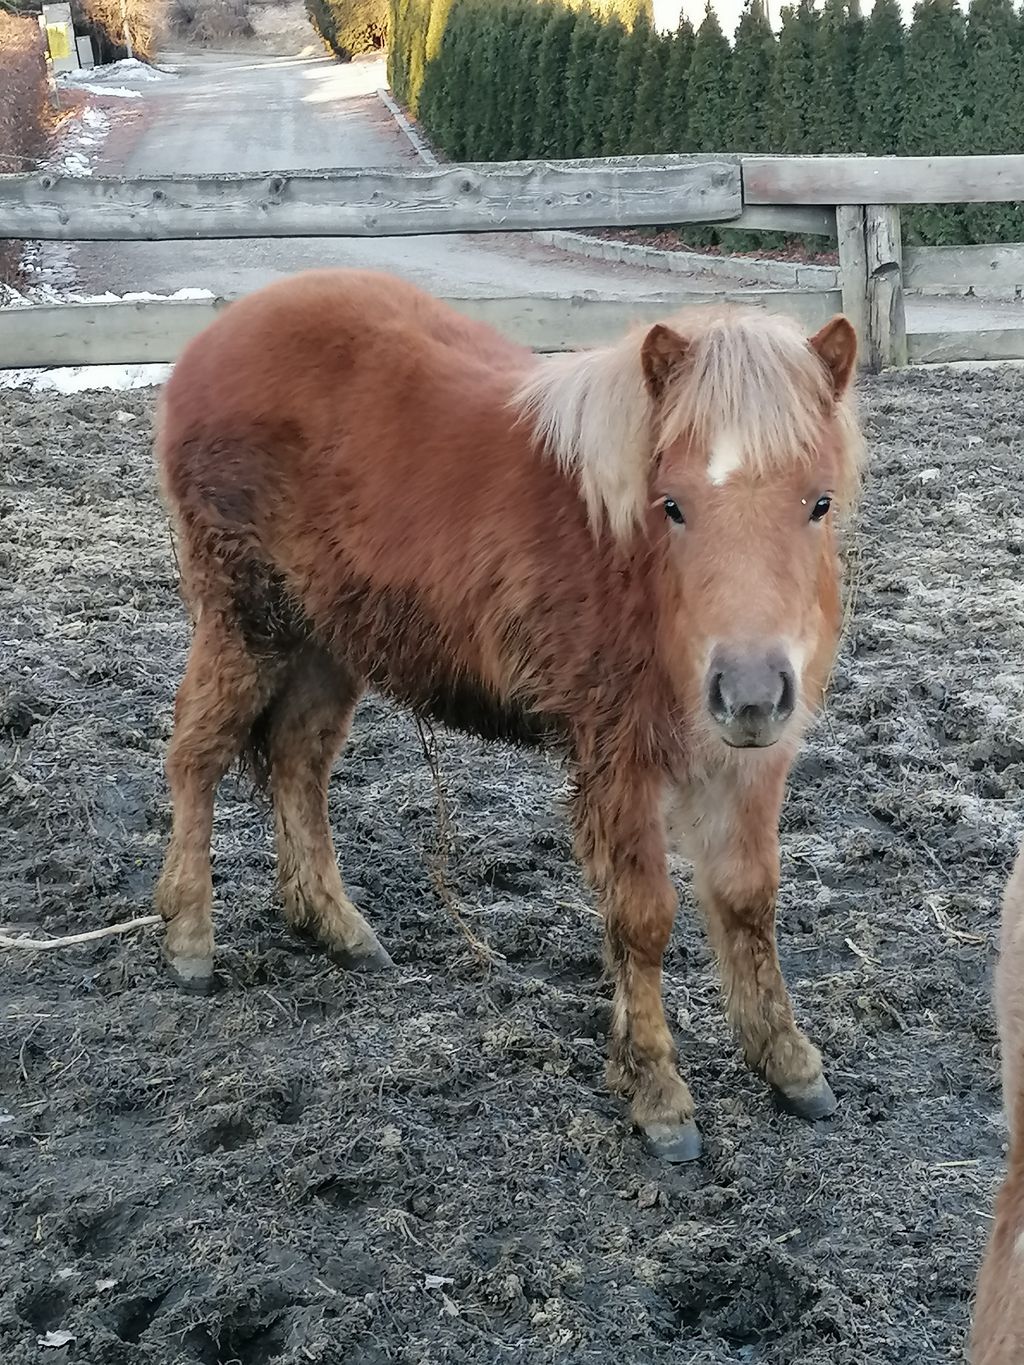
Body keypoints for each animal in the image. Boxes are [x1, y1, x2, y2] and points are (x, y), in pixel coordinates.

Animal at [156, 268, 862, 1162]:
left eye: (819, 502)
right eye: (672, 504)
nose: (747, 690)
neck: (633, 567)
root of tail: (210, 344)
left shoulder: (748, 759)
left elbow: (748, 898)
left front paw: (789, 1062)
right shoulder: (617, 754)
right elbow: (644, 918)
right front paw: (659, 1096)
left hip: (328, 642)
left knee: (296, 762)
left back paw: (337, 927)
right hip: (246, 620)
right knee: (196, 757)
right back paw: (189, 940)